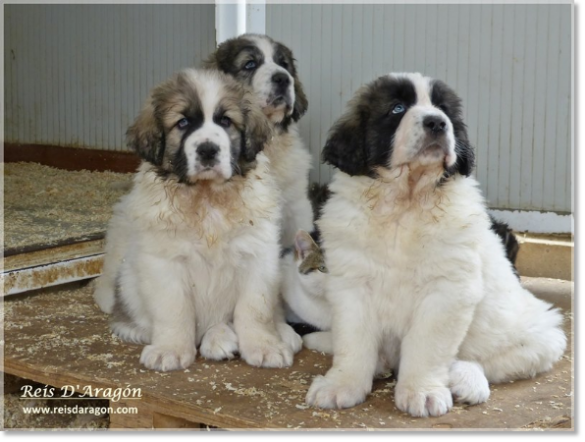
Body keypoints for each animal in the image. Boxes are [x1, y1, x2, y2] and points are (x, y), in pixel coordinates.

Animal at [92, 68, 302, 372]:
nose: (208, 150)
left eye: (226, 121)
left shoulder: (257, 256)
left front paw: (264, 346)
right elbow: (174, 310)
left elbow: (255, 309)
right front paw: (170, 350)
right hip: (129, 277)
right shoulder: (164, 262)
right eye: (182, 123)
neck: (207, 199)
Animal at [306, 73, 564, 418]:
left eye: (444, 110)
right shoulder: (351, 283)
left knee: (480, 361)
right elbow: (353, 341)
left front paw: (422, 392)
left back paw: (464, 379)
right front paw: (341, 385)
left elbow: (427, 345)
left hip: (541, 336)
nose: (437, 123)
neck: (406, 202)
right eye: (397, 108)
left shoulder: (447, 290)